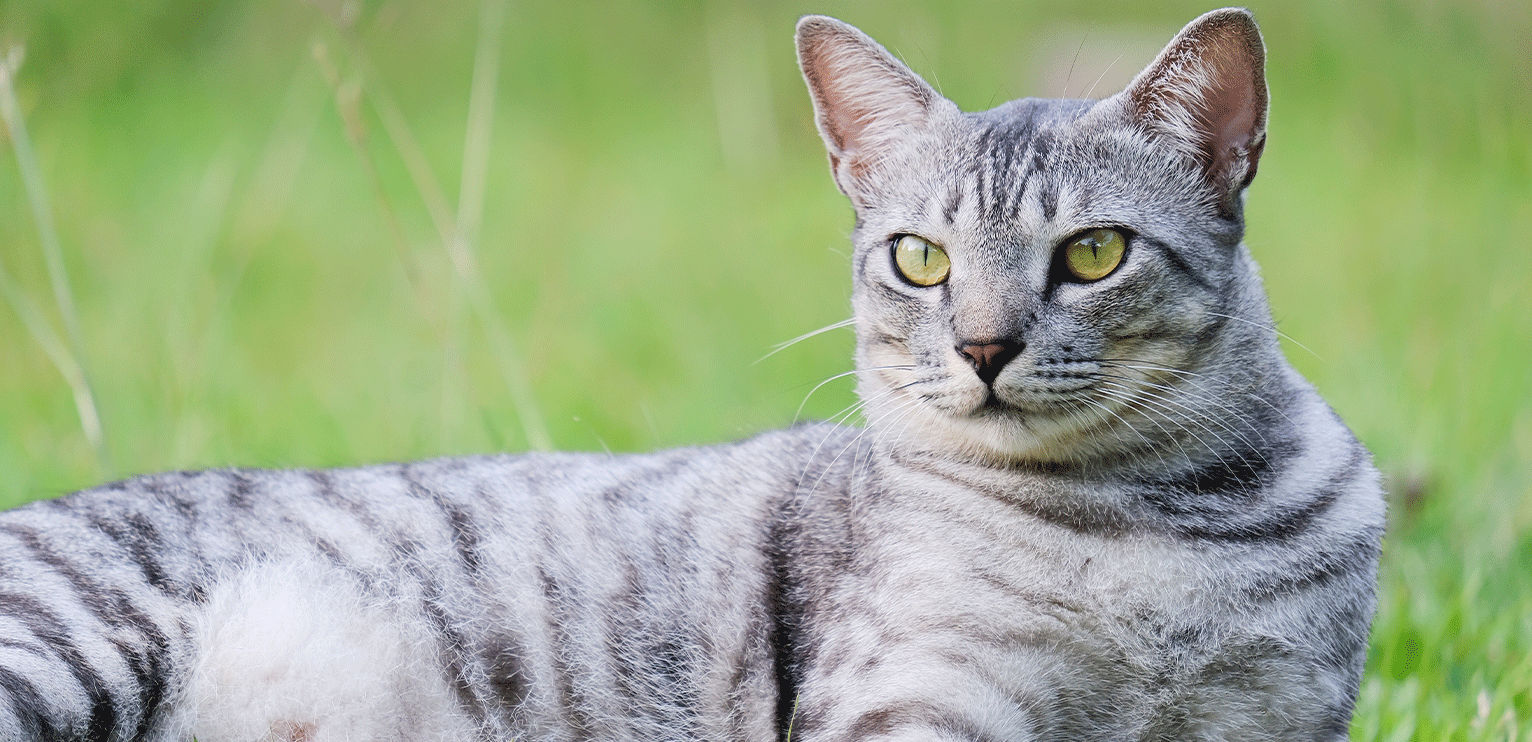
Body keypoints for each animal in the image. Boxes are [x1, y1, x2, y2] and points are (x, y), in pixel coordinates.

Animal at [0, 7, 1391, 742]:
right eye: (921, 259)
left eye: (1093, 252)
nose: (982, 346)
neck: (1153, 516)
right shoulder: (910, 708)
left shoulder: (1268, 717)